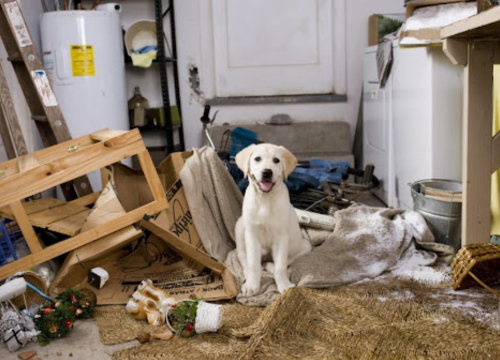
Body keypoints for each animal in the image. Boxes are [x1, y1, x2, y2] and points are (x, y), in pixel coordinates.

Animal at [235, 143, 312, 296]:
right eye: (257, 159)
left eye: (276, 160)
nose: (267, 172)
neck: (265, 200)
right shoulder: (252, 234)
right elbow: (253, 263)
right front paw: (252, 285)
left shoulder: (281, 237)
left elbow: (280, 265)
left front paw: (284, 285)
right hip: (240, 227)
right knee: (242, 256)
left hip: (306, 245)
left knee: (282, 261)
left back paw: (270, 265)